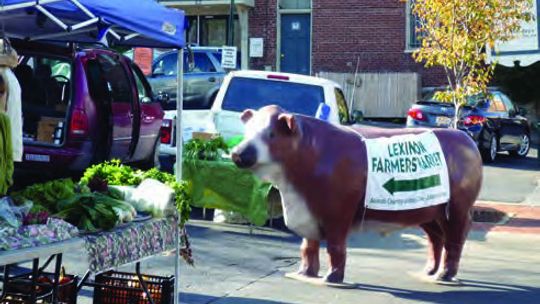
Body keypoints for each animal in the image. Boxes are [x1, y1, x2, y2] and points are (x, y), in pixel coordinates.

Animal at [230, 105, 484, 286]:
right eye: (247, 131)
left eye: (271, 134)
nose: (237, 152)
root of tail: (466, 140)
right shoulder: (308, 214)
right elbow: (308, 247)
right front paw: (305, 273)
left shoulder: (338, 211)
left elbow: (335, 247)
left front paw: (332, 278)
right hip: (430, 212)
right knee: (436, 240)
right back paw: (429, 271)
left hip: (458, 208)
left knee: (454, 240)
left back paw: (444, 275)